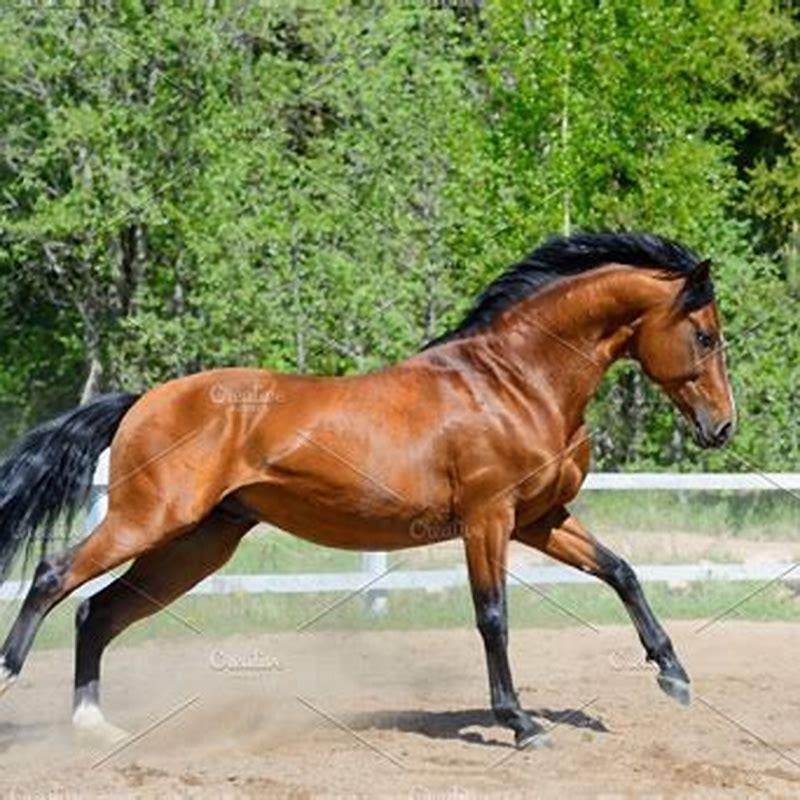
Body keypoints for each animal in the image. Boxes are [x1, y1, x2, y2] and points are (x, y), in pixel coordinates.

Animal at [0, 231, 735, 749]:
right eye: (704, 335)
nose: (722, 427)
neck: (516, 383)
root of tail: (144, 400)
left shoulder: (540, 518)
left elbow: (621, 571)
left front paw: (674, 676)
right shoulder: (488, 519)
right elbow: (492, 616)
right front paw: (521, 724)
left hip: (196, 544)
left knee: (98, 612)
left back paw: (96, 727)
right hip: (150, 519)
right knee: (54, 574)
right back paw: (12, 675)